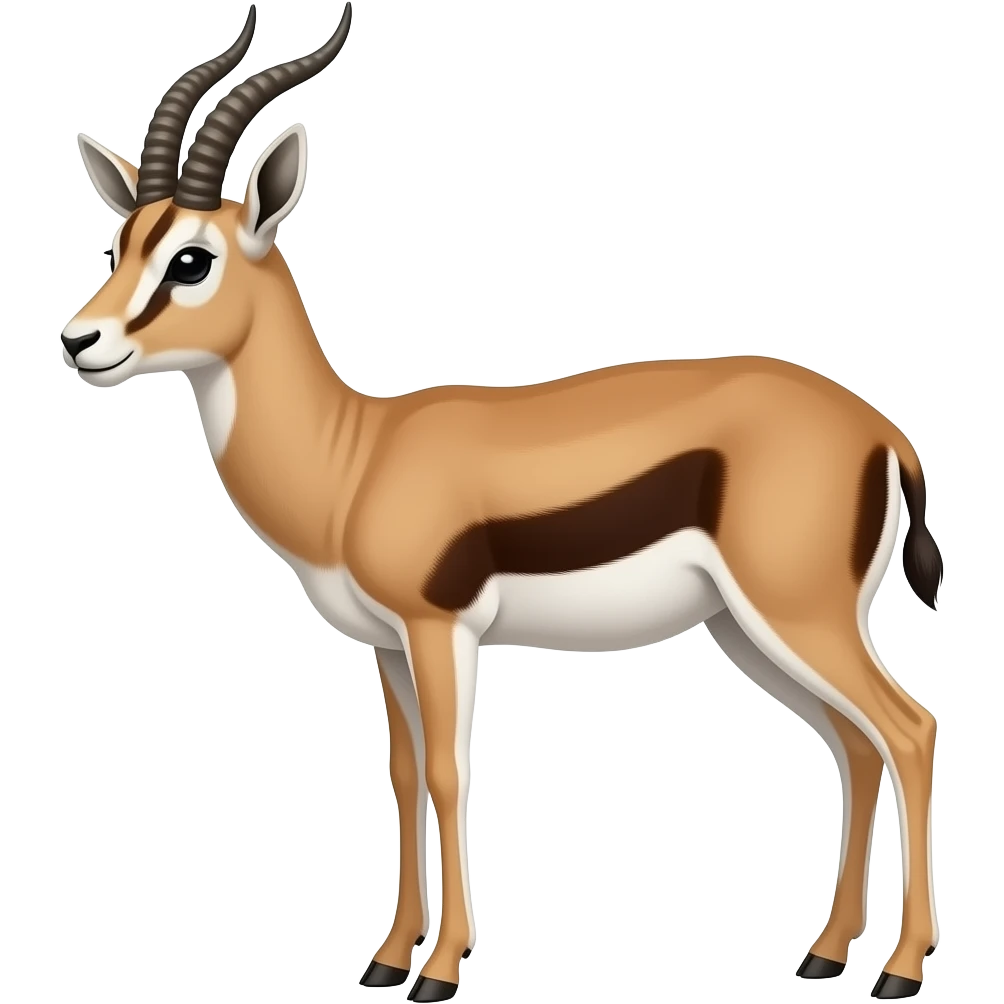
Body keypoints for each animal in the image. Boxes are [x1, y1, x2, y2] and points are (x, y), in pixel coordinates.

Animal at [62, 5, 944, 1000]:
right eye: (118, 246)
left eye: (191, 259)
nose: (80, 341)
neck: (355, 456)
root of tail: (884, 434)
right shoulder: (387, 645)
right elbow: (404, 778)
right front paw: (385, 959)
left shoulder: (439, 628)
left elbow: (451, 774)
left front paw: (440, 970)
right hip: (751, 628)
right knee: (856, 745)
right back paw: (826, 954)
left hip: (799, 614)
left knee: (910, 730)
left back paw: (901, 968)